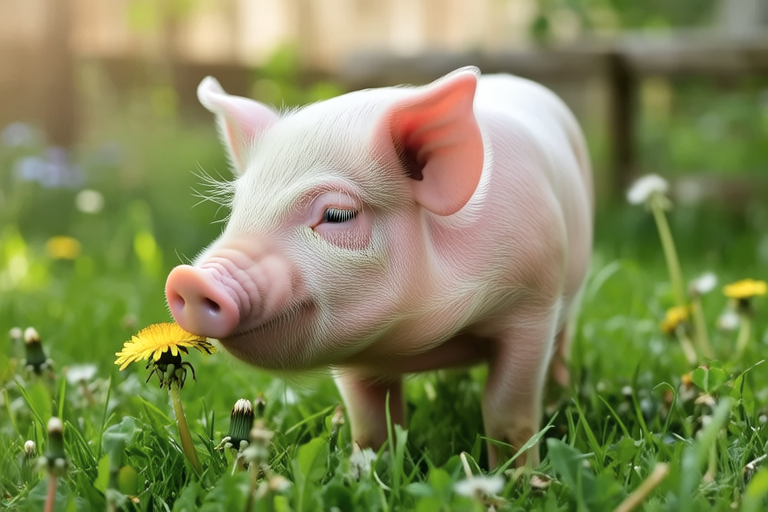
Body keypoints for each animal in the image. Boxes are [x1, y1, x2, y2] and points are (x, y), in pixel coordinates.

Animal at [165, 66, 593, 468]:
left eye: (338, 215)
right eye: (238, 209)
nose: (189, 278)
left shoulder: (533, 305)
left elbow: (507, 413)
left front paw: (515, 477)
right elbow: (371, 422)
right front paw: (369, 468)